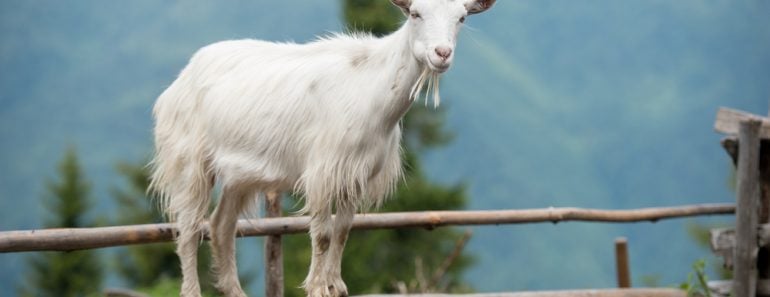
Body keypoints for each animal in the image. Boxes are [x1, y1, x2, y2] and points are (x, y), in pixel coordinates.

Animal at [151, 0, 496, 296]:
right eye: (415, 13)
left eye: (461, 18)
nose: (442, 53)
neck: (372, 88)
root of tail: (180, 80)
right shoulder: (322, 171)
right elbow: (323, 233)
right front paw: (317, 287)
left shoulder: (356, 174)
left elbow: (343, 230)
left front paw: (336, 286)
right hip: (190, 161)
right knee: (189, 228)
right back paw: (192, 290)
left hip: (240, 175)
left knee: (221, 225)